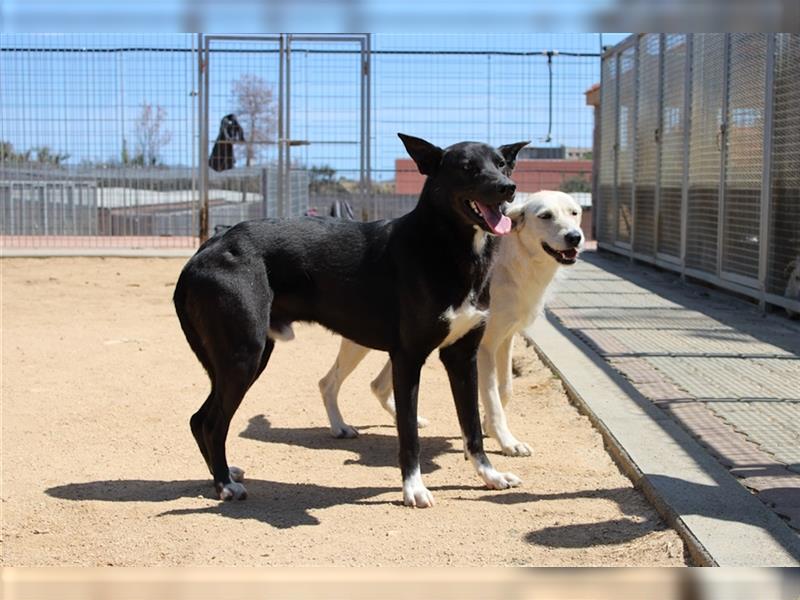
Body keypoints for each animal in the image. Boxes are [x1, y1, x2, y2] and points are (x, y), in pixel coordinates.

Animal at [173, 135, 528, 506]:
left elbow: (472, 427)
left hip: (241, 359)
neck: (444, 246)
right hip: (244, 356)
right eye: (467, 168)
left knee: (200, 419)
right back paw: (224, 483)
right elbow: (409, 434)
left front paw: (490, 475)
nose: (508, 188)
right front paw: (413, 489)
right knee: (211, 422)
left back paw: (224, 474)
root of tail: (203, 252)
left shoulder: (462, 357)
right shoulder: (408, 359)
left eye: (502, 164)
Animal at [318, 191, 588, 454]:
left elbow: (505, 390)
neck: (517, 261)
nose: (575, 237)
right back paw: (340, 427)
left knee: (376, 385)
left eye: (574, 213)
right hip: (363, 343)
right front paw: (506, 441)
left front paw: (489, 427)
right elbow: (492, 397)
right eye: (545, 216)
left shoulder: (505, 339)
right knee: (328, 383)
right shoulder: (483, 347)